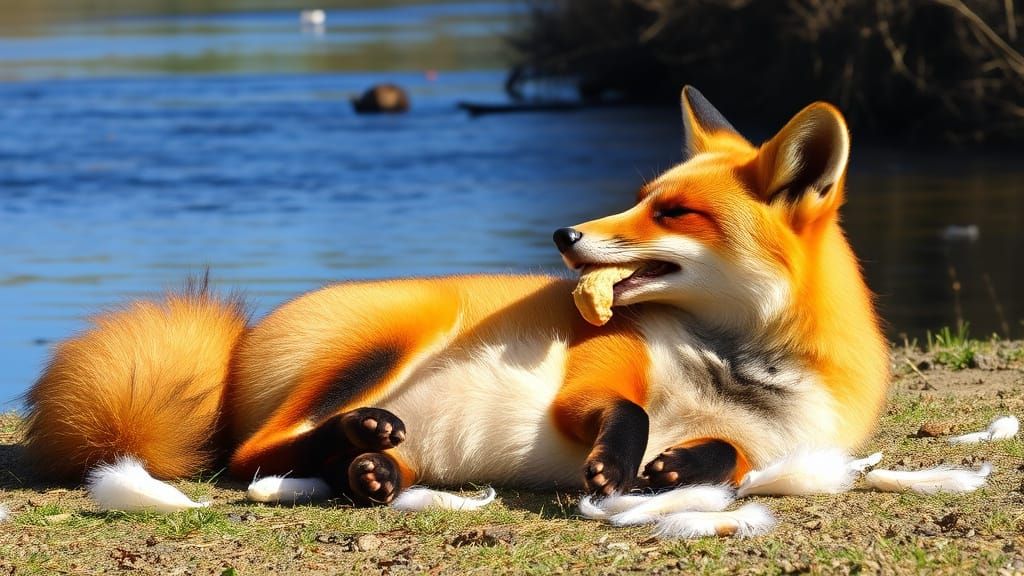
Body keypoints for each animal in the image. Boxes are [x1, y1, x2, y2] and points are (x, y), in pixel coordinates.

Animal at [23, 87, 889, 508]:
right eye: (644, 197)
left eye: (673, 212)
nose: (563, 234)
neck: (735, 369)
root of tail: (238, 346)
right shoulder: (601, 366)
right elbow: (629, 413)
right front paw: (619, 465)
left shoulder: (776, 448)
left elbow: (722, 458)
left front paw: (674, 472)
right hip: (396, 337)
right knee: (250, 453)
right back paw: (357, 435)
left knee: (320, 460)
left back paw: (366, 469)